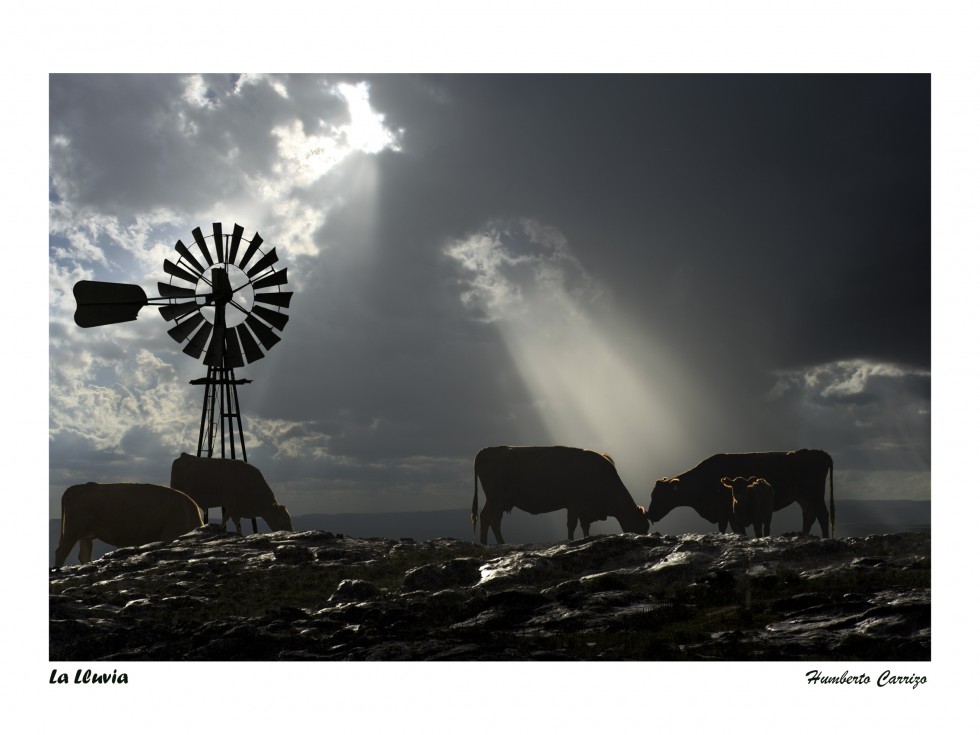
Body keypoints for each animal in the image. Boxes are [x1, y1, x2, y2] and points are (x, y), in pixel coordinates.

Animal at [54, 484, 205, 568]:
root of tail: (76, 487)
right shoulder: (170, 535)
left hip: (85, 535)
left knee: (84, 555)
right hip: (72, 530)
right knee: (61, 552)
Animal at [468, 446, 652, 544]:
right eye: (643, 526)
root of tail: (488, 449)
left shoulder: (582, 509)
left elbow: (584, 527)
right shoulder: (575, 504)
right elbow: (572, 525)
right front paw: (571, 541)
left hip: (496, 500)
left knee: (487, 518)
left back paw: (486, 543)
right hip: (497, 499)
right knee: (492, 519)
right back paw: (499, 543)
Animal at [652, 448, 836, 540]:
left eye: (658, 495)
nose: (650, 514)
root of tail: (818, 452)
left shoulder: (723, 513)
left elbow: (723, 529)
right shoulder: (732, 515)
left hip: (815, 494)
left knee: (822, 515)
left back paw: (826, 538)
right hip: (804, 498)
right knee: (809, 516)